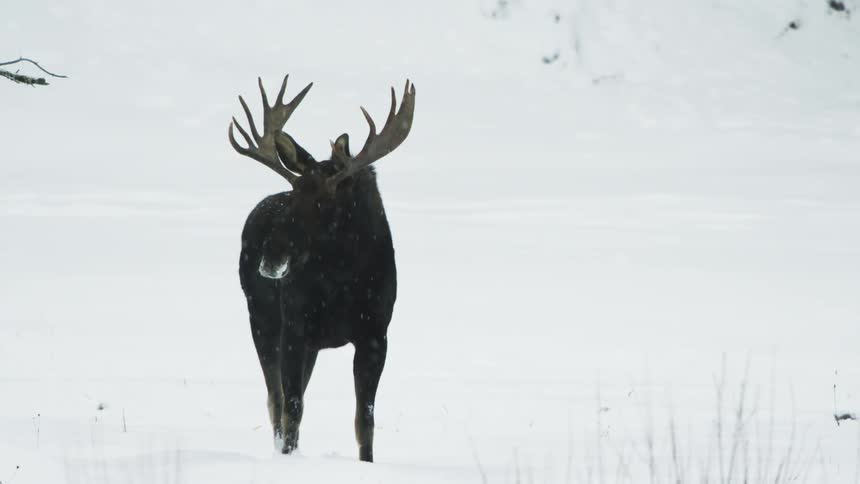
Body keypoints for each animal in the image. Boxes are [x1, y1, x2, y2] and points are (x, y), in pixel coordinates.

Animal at [228, 74, 415, 462]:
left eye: (323, 202)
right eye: (293, 193)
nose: (269, 259)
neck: (343, 282)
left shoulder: (376, 333)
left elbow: (365, 418)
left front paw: (367, 463)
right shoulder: (295, 326)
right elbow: (292, 406)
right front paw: (287, 456)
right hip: (261, 319)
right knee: (276, 397)